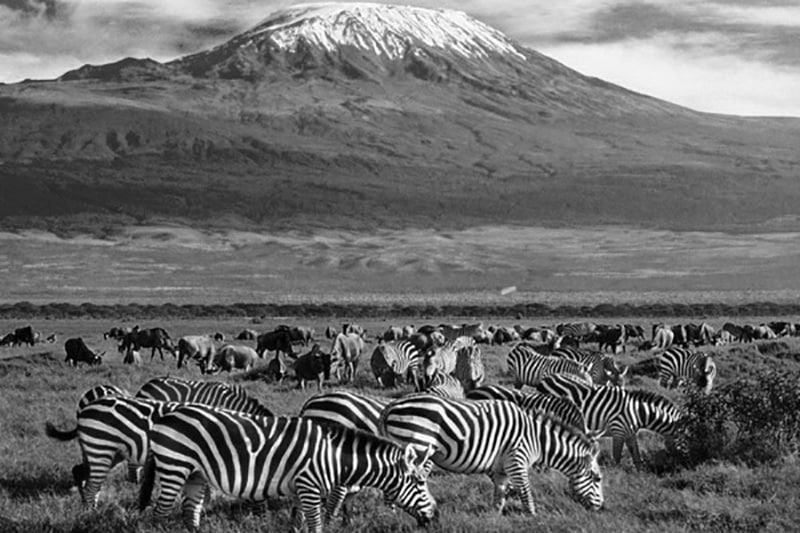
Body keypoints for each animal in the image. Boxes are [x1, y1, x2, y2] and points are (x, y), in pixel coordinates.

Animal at [138, 406, 438, 528]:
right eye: (419, 482)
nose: (435, 517)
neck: (332, 456)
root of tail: (166, 415)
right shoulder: (309, 486)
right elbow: (315, 525)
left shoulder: (298, 490)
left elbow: (298, 523)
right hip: (175, 466)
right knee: (160, 513)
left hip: (196, 474)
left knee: (190, 512)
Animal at [380, 394, 600, 512]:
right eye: (597, 478)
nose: (600, 507)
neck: (537, 439)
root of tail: (393, 404)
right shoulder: (517, 459)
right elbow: (525, 493)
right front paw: (533, 518)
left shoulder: (501, 468)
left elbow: (500, 495)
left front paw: (495, 518)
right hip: (417, 445)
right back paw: (394, 516)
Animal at [536, 372, 680, 464]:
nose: (676, 462)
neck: (638, 411)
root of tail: (545, 379)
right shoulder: (618, 431)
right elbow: (616, 458)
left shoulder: (630, 433)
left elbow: (637, 457)